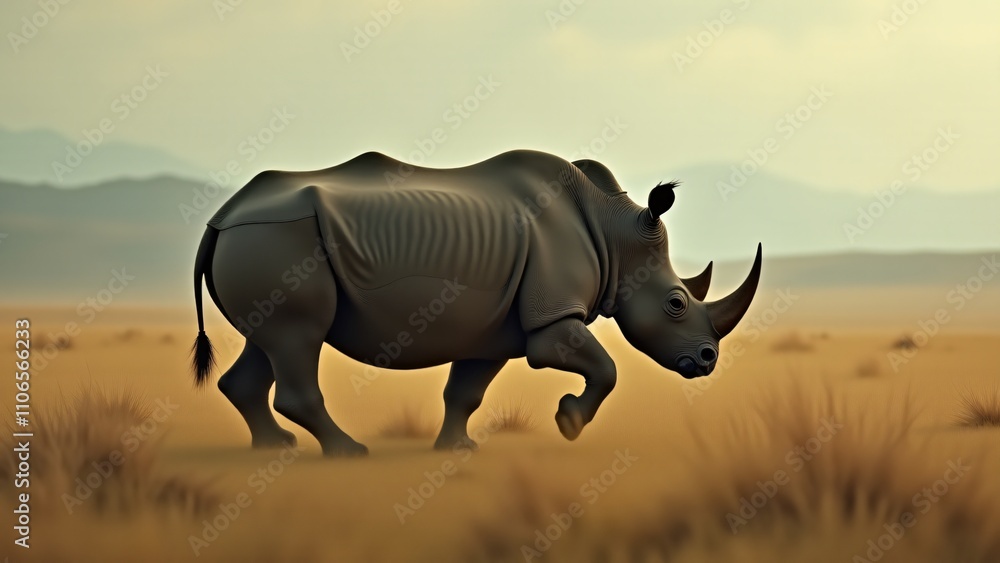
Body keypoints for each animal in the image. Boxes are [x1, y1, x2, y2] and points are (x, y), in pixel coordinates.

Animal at [190, 150, 762, 456]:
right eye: (676, 303)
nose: (707, 360)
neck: (614, 235)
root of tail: (221, 217)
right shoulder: (551, 319)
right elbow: (606, 367)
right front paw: (569, 422)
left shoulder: (494, 329)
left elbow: (466, 391)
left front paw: (458, 449)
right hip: (278, 238)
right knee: (298, 339)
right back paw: (348, 453)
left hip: (265, 241)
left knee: (268, 342)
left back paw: (275, 447)